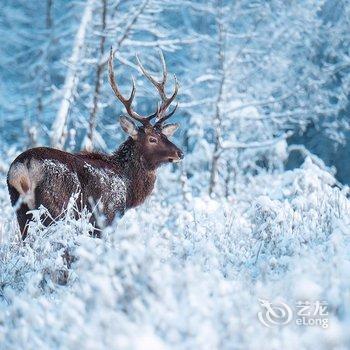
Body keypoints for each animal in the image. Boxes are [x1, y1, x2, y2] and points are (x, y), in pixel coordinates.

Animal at [7, 49, 183, 239]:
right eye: (152, 139)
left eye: (164, 135)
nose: (180, 153)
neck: (128, 188)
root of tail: (23, 166)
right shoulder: (107, 215)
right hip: (54, 207)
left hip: (20, 209)